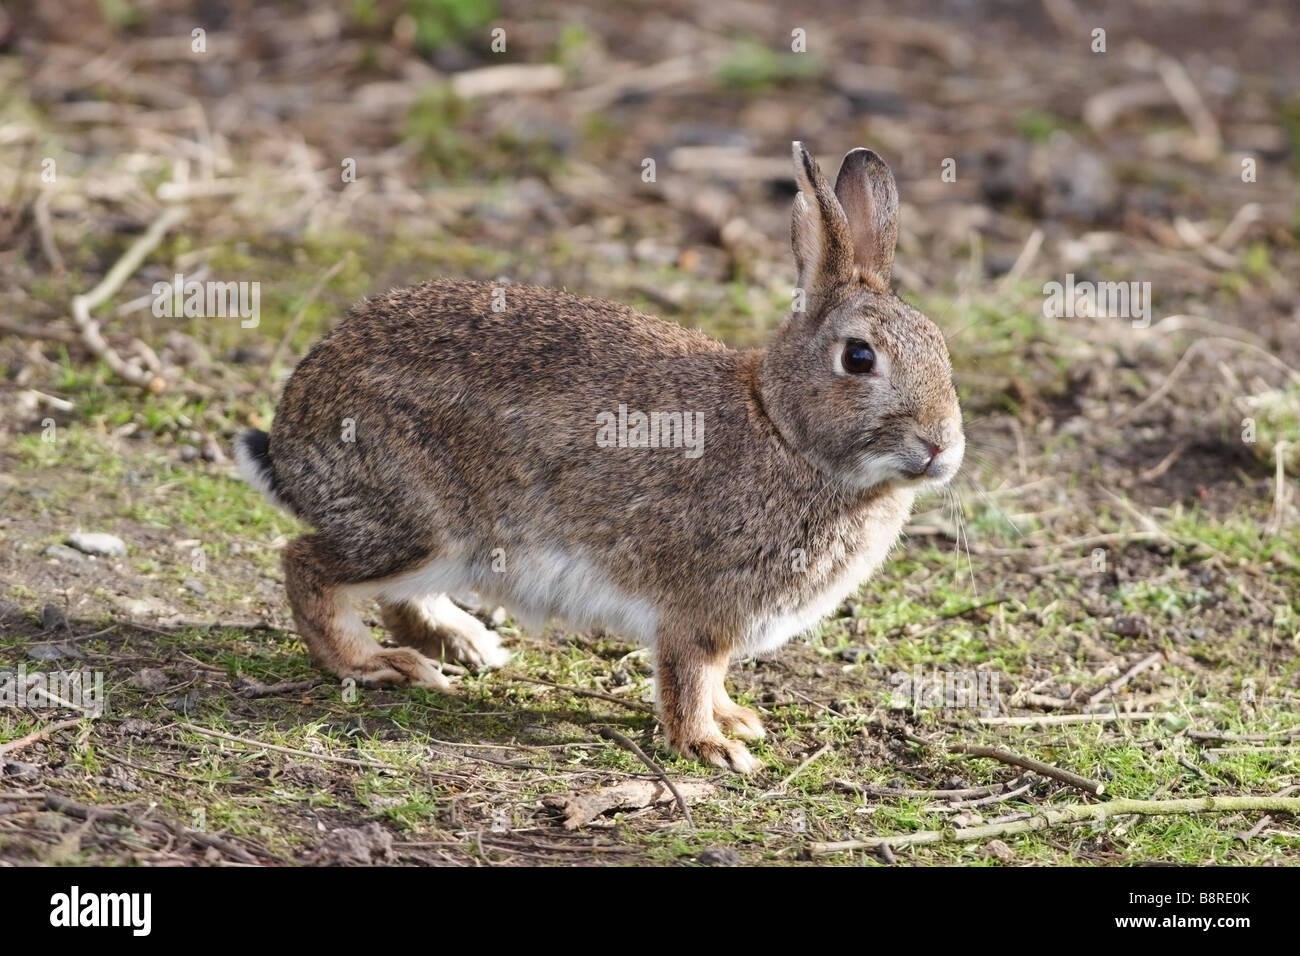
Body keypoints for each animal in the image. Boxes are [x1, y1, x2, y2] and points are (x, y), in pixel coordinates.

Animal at [236, 141, 967, 775]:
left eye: (941, 347)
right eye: (859, 358)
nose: (941, 446)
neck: (782, 429)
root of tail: (292, 427)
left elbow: (715, 677)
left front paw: (737, 720)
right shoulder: (698, 609)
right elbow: (690, 675)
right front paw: (710, 747)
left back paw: (466, 643)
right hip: (418, 525)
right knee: (306, 565)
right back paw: (372, 663)